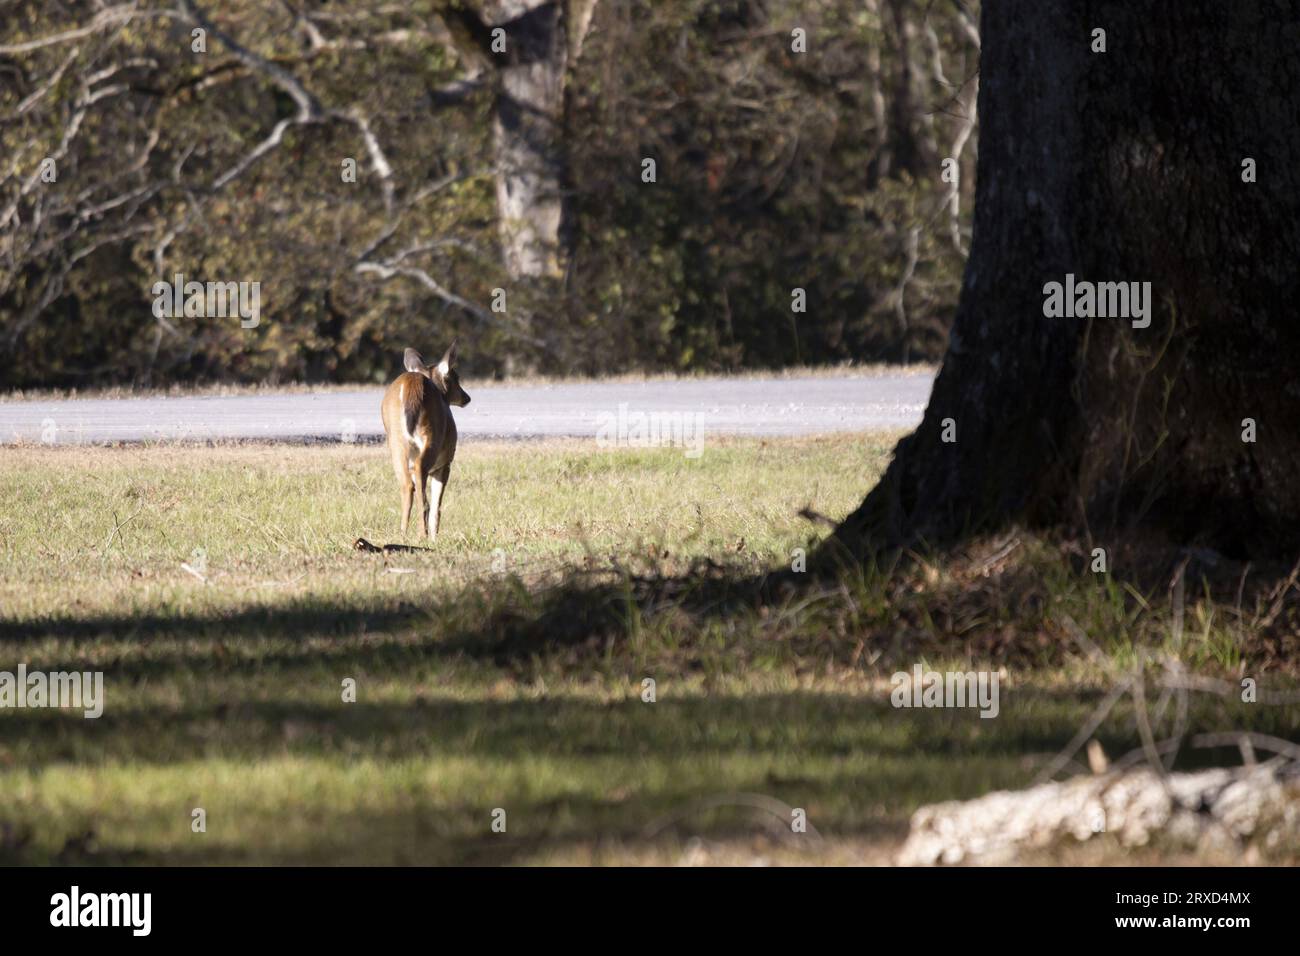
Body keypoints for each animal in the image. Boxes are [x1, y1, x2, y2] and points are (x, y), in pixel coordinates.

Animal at [380, 342, 470, 541]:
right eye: (456, 377)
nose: (466, 398)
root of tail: (411, 385)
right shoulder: (444, 464)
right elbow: (437, 503)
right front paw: (434, 537)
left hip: (396, 440)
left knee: (407, 484)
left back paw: (403, 534)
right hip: (431, 436)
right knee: (419, 473)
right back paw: (422, 534)